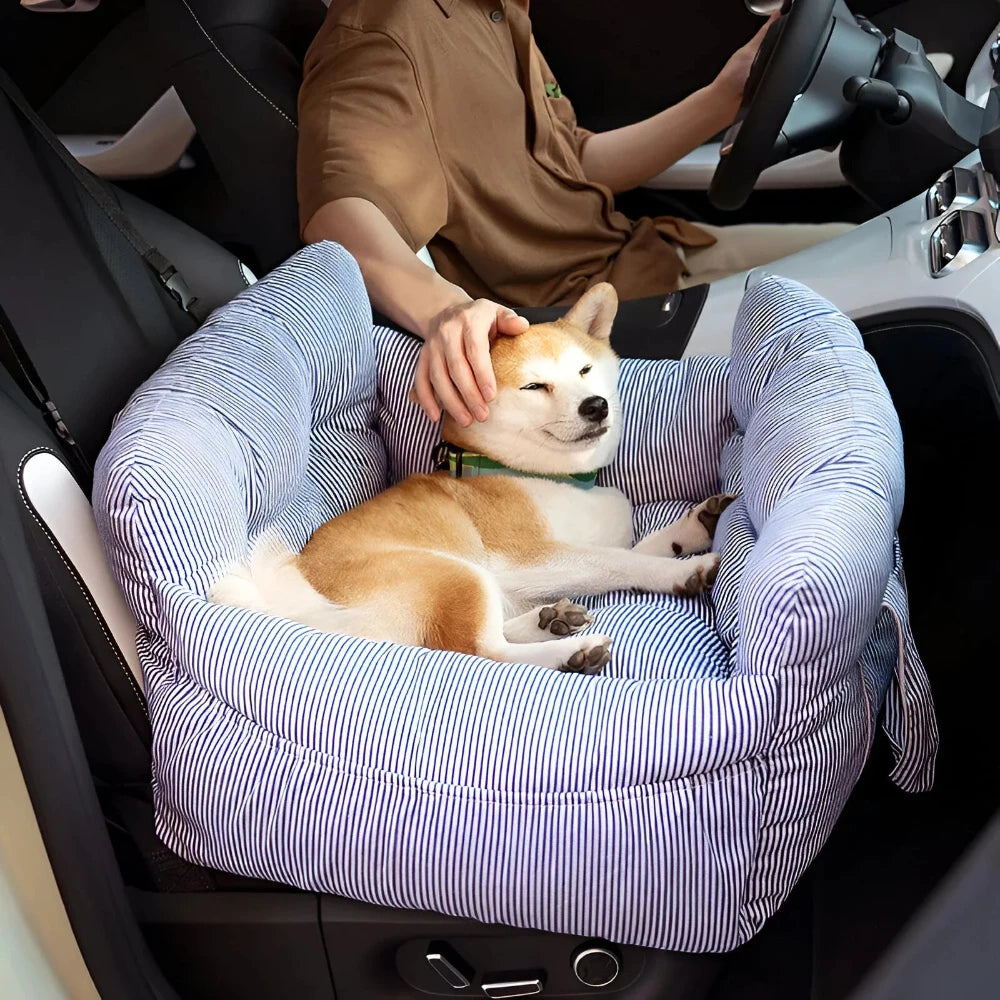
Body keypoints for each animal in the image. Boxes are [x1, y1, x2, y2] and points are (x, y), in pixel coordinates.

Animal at [211, 282, 732, 672]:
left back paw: (550, 620)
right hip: (458, 572)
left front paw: (691, 530)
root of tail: (296, 605)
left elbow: (634, 549)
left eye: (585, 369)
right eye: (534, 386)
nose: (595, 406)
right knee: (482, 650)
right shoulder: (528, 557)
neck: (550, 478)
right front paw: (682, 571)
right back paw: (568, 650)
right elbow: (620, 563)